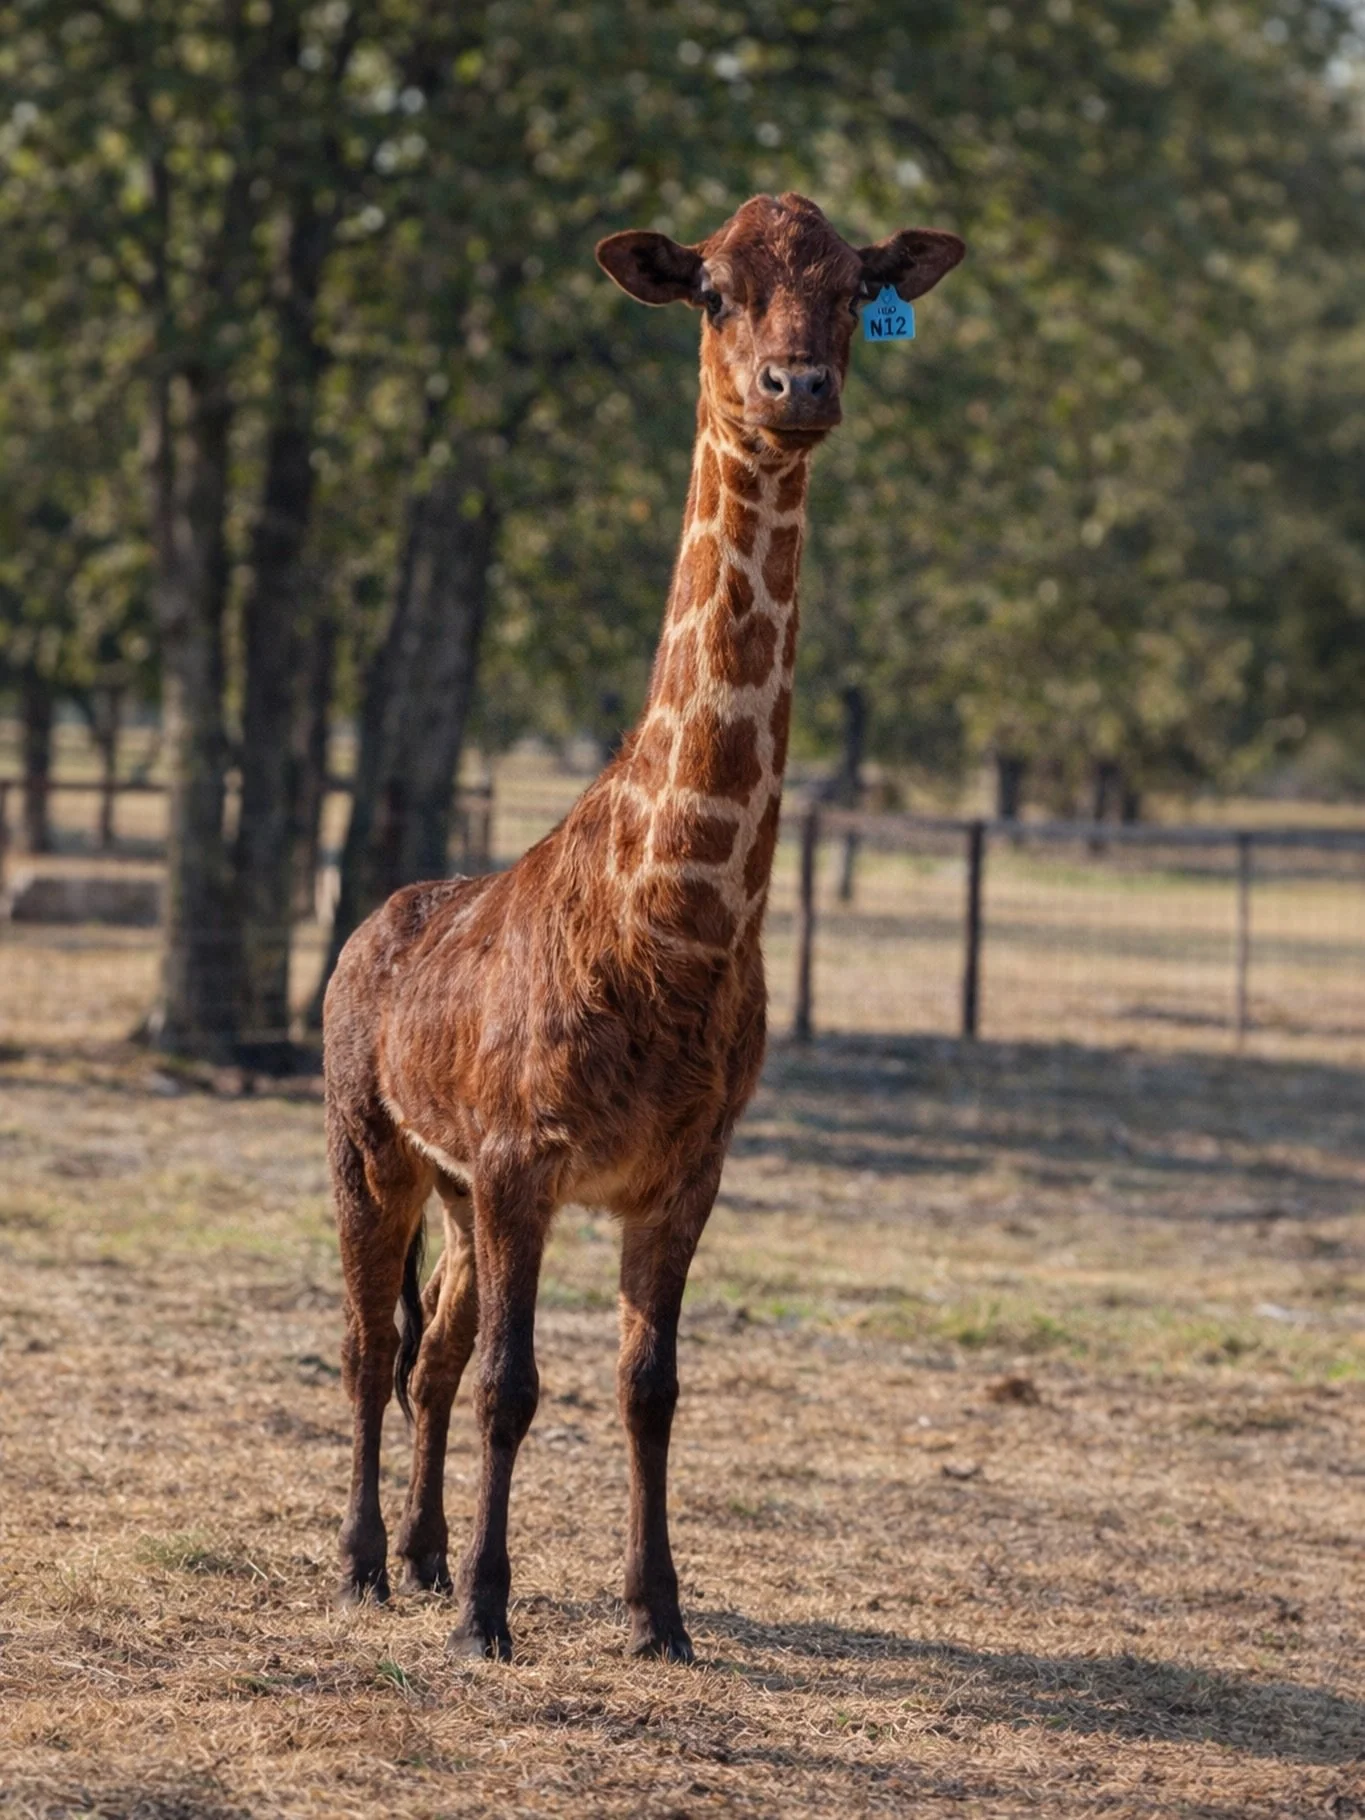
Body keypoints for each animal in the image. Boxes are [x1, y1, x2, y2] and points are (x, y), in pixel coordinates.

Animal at [322, 193, 964, 1662]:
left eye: (856, 287)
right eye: (715, 288)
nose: (798, 388)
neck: (678, 924)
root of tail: (360, 936)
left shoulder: (679, 1170)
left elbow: (648, 1385)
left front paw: (656, 1612)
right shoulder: (523, 1153)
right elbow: (514, 1383)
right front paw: (489, 1618)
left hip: (447, 1184)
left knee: (427, 1350)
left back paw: (422, 1554)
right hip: (369, 1145)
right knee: (373, 1348)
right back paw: (367, 1564)